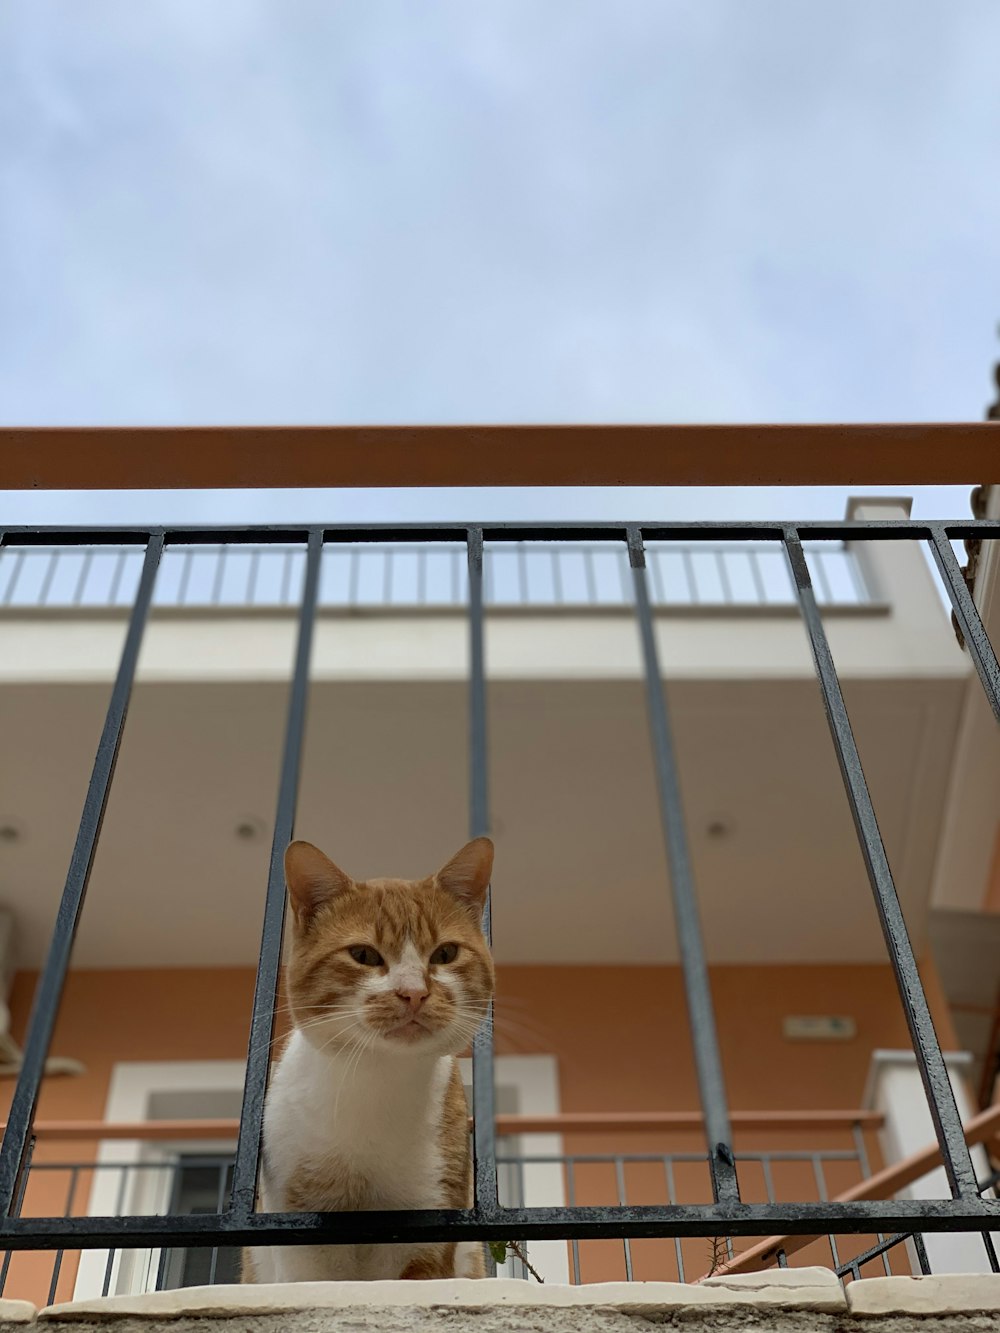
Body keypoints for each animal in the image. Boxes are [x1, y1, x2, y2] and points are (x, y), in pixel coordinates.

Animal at [242, 831, 493, 1279]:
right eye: (363, 955)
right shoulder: (299, 1226)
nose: (414, 993)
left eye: (445, 954)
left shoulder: (428, 1223)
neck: (376, 1086)